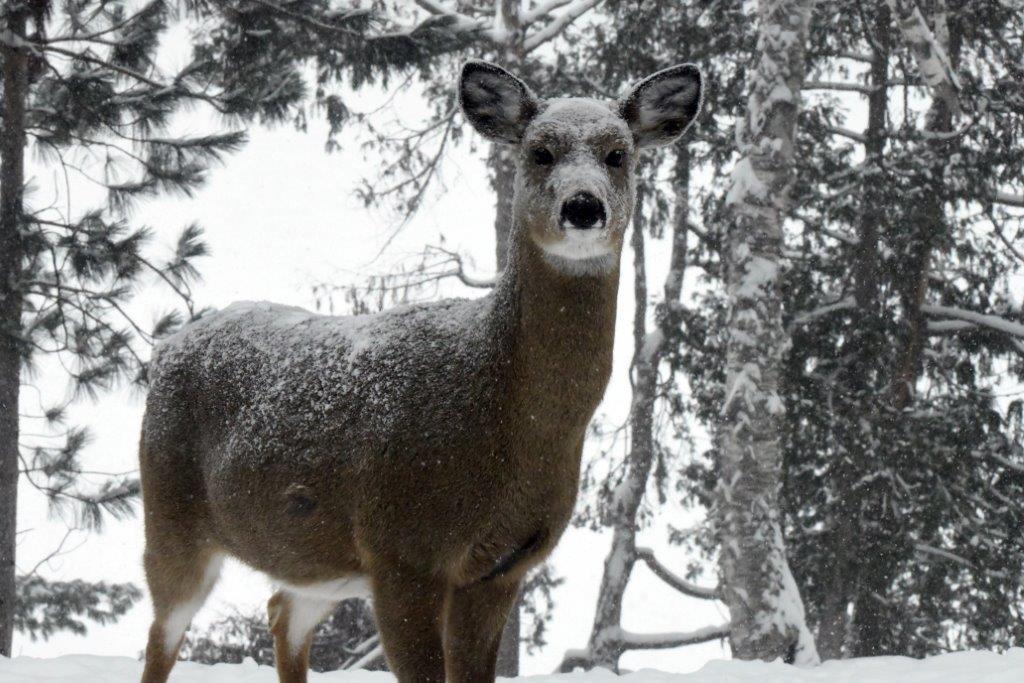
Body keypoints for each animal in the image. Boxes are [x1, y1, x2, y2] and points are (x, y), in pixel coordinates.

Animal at [137, 59, 703, 683]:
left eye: (618, 154)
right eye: (540, 151)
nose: (583, 206)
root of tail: (166, 349)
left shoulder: (500, 569)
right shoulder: (402, 549)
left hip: (316, 559)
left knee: (283, 611)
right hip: (170, 513)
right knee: (162, 634)